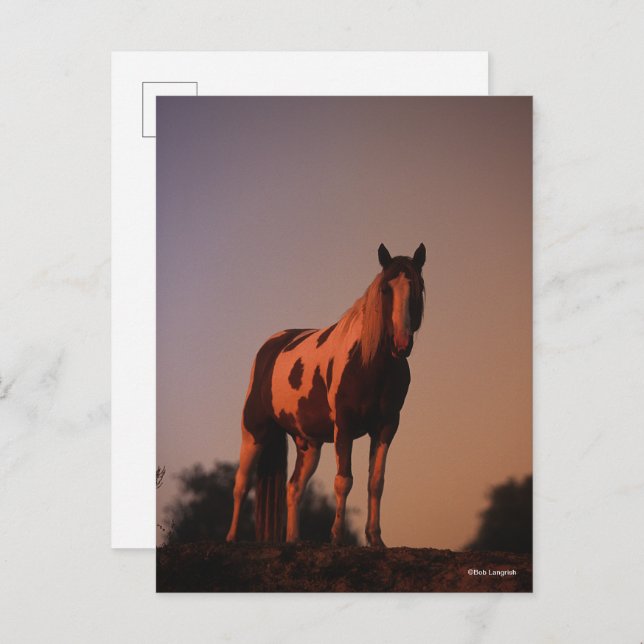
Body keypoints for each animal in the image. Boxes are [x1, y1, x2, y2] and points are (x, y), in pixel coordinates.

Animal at [226, 243, 426, 547]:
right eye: (385, 289)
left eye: (418, 287)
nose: (401, 344)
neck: (367, 363)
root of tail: (271, 346)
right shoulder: (344, 426)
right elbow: (343, 480)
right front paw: (337, 537)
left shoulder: (386, 426)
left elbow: (375, 482)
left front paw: (375, 538)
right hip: (253, 432)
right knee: (241, 484)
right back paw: (232, 538)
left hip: (308, 444)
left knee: (293, 488)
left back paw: (293, 539)